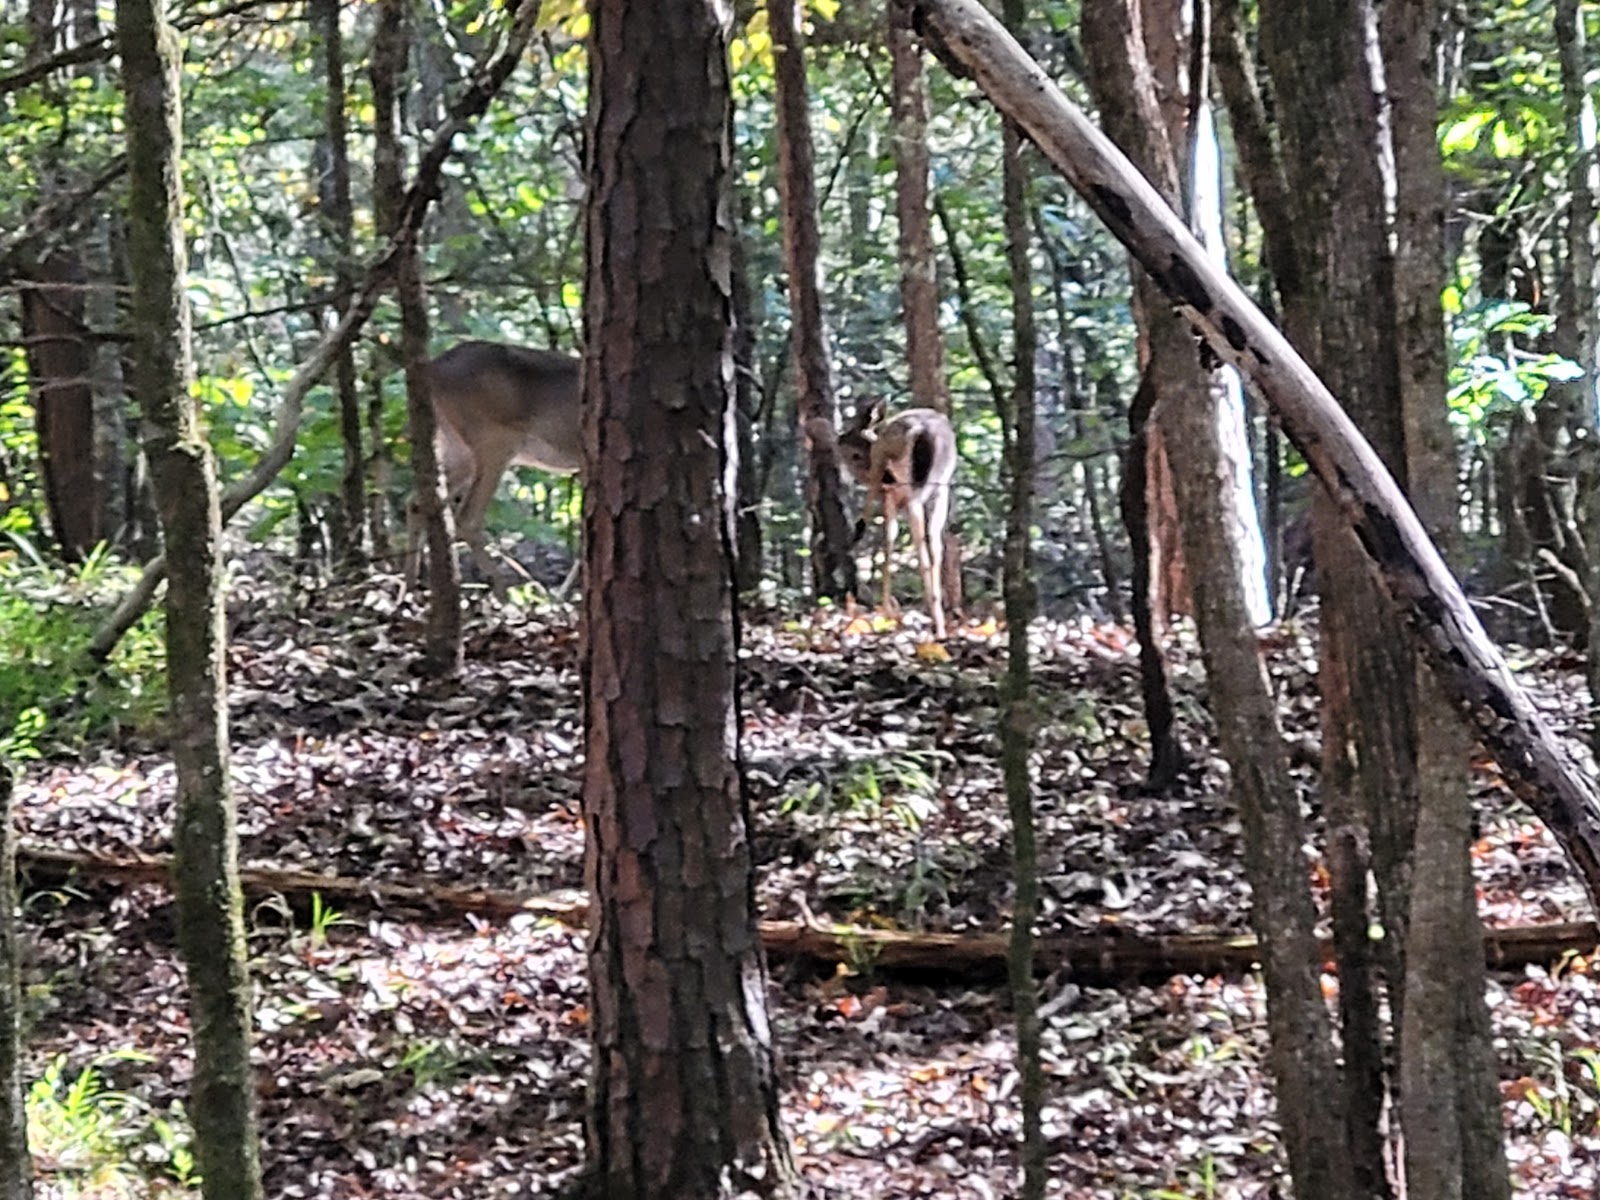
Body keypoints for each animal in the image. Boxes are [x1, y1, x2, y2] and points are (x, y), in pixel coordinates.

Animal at [404, 341, 582, 591]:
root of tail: (433, 368)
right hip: (495, 440)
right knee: (467, 518)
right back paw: (504, 591)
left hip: (458, 449)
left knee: (416, 503)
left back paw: (410, 585)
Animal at [837, 401, 958, 639]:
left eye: (854, 454)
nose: (839, 439)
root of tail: (924, 430)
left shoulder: (887, 487)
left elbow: (888, 539)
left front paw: (886, 611)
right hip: (941, 486)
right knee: (935, 543)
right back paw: (940, 625)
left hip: (909, 481)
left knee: (921, 547)